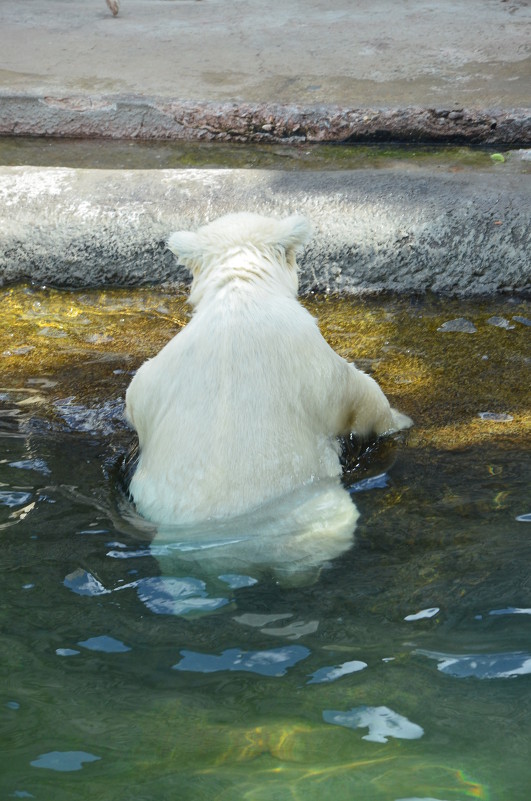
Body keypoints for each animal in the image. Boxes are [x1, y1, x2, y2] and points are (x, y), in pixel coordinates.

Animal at [123, 212, 412, 532]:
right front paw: (400, 420)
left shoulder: (157, 373)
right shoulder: (308, 351)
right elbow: (359, 396)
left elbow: (135, 398)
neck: (240, 294)